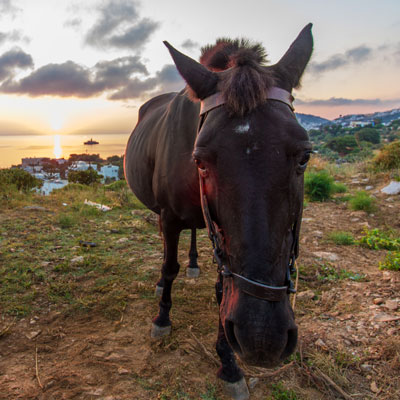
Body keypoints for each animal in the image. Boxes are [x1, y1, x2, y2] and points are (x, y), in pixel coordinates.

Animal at [126, 24, 314, 396]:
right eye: (199, 160)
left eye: (305, 156)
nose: (262, 337)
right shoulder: (170, 217)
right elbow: (169, 266)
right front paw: (162, 318)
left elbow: (222, 291)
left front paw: (228, 364)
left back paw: (195, 264)